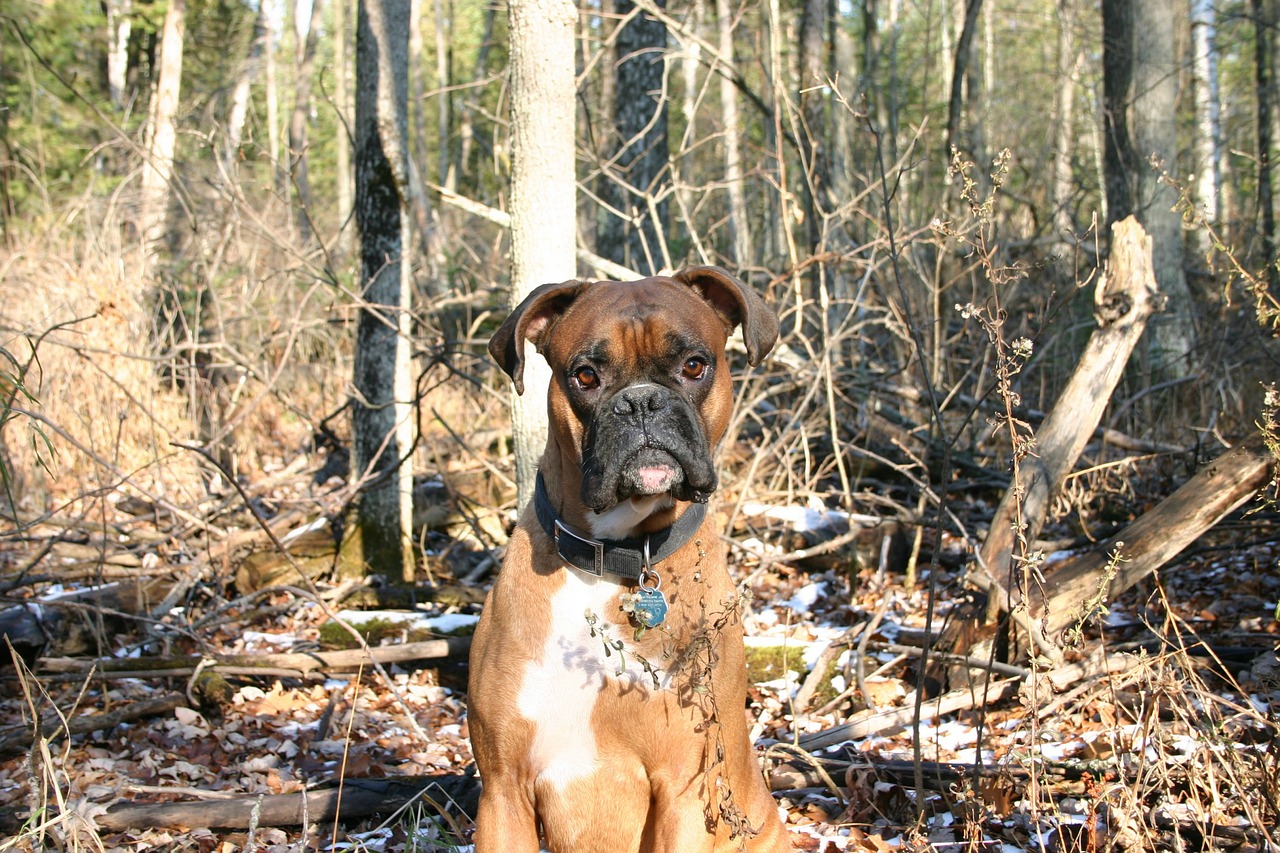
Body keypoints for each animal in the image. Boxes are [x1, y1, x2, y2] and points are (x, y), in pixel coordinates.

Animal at [471, 267, 788, 850]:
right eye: (586, 375)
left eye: (694, 365)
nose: (641, 403)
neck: (613, 556)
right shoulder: (503, 791)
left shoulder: (683, 793)